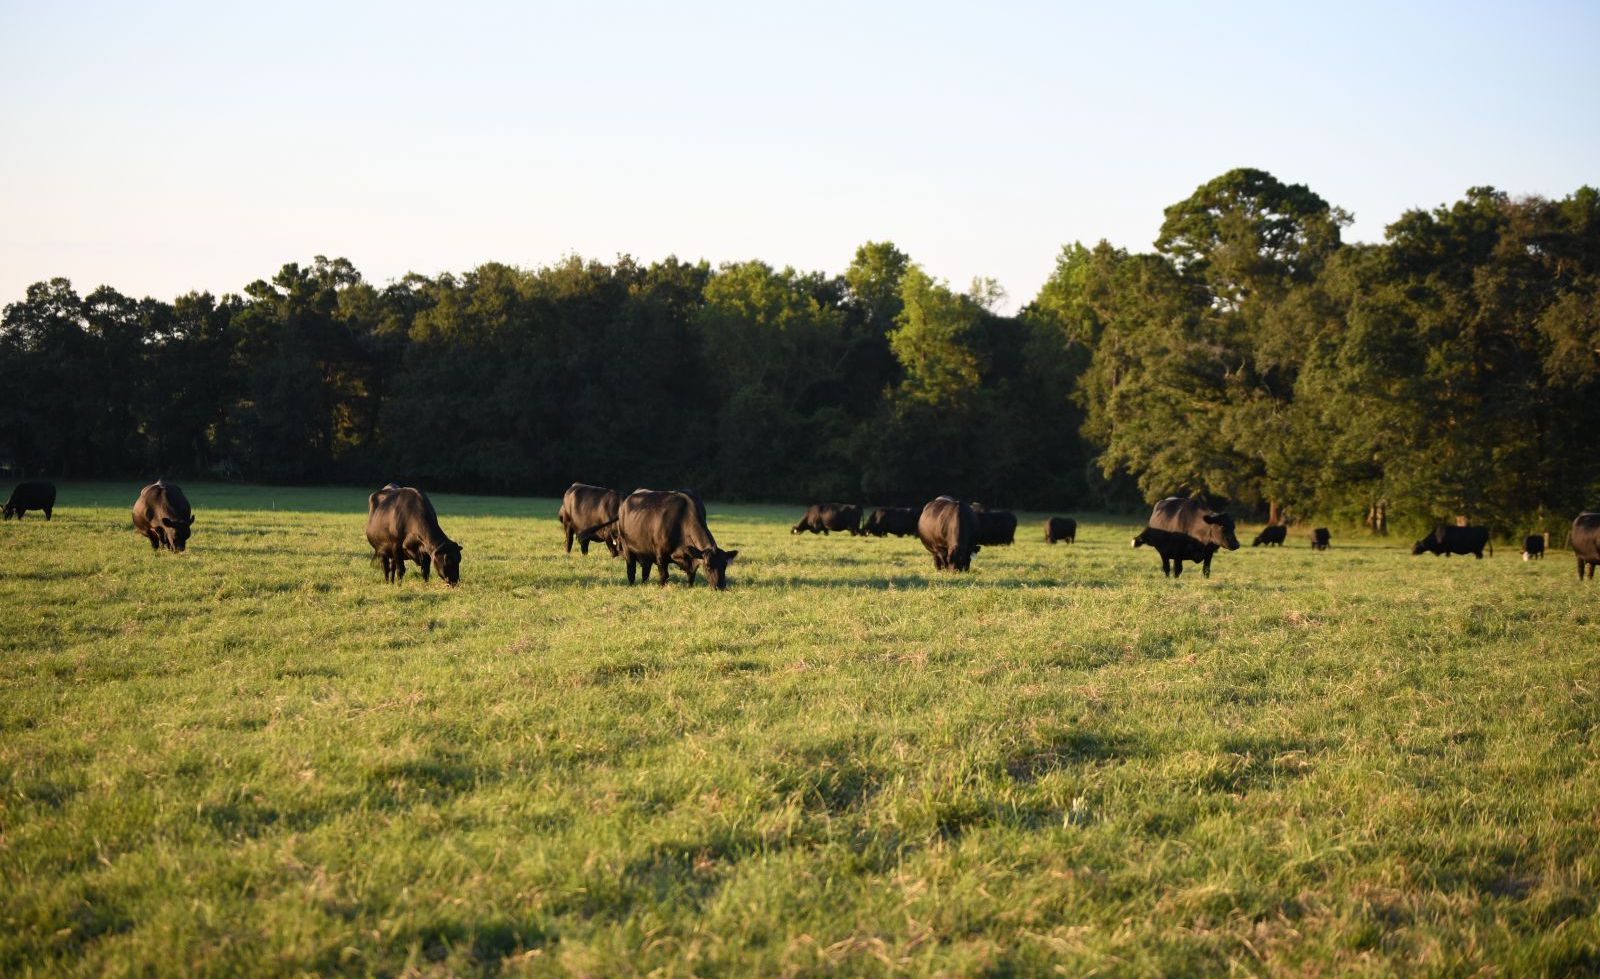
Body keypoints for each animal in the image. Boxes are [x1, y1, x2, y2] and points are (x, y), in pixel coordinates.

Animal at [596, 489, 737, 589]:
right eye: (708, 566)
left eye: (725, 565)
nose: (720, 587)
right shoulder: (660, 555)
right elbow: (664, 575)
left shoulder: (691, 559)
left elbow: (691, 576)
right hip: (627, 547)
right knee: (631, 570)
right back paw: (632, 585)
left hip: (646, 552)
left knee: (645, 572)